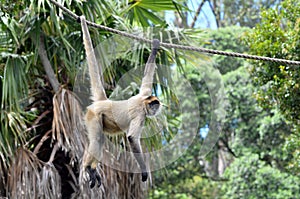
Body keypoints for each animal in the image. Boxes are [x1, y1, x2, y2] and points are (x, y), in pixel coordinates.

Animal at [78, 15, 161, 188]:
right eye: (152, 105)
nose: (155, 108)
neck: (143, 103)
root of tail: (104, 101)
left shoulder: (144, 94)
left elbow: (147, 78)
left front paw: (155, 46)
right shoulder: (141, 113)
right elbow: (132, 138)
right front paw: (144, 172)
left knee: (99, 140)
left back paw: (91, 169)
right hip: (93, 115)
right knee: (97, 139)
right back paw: (88, 167)